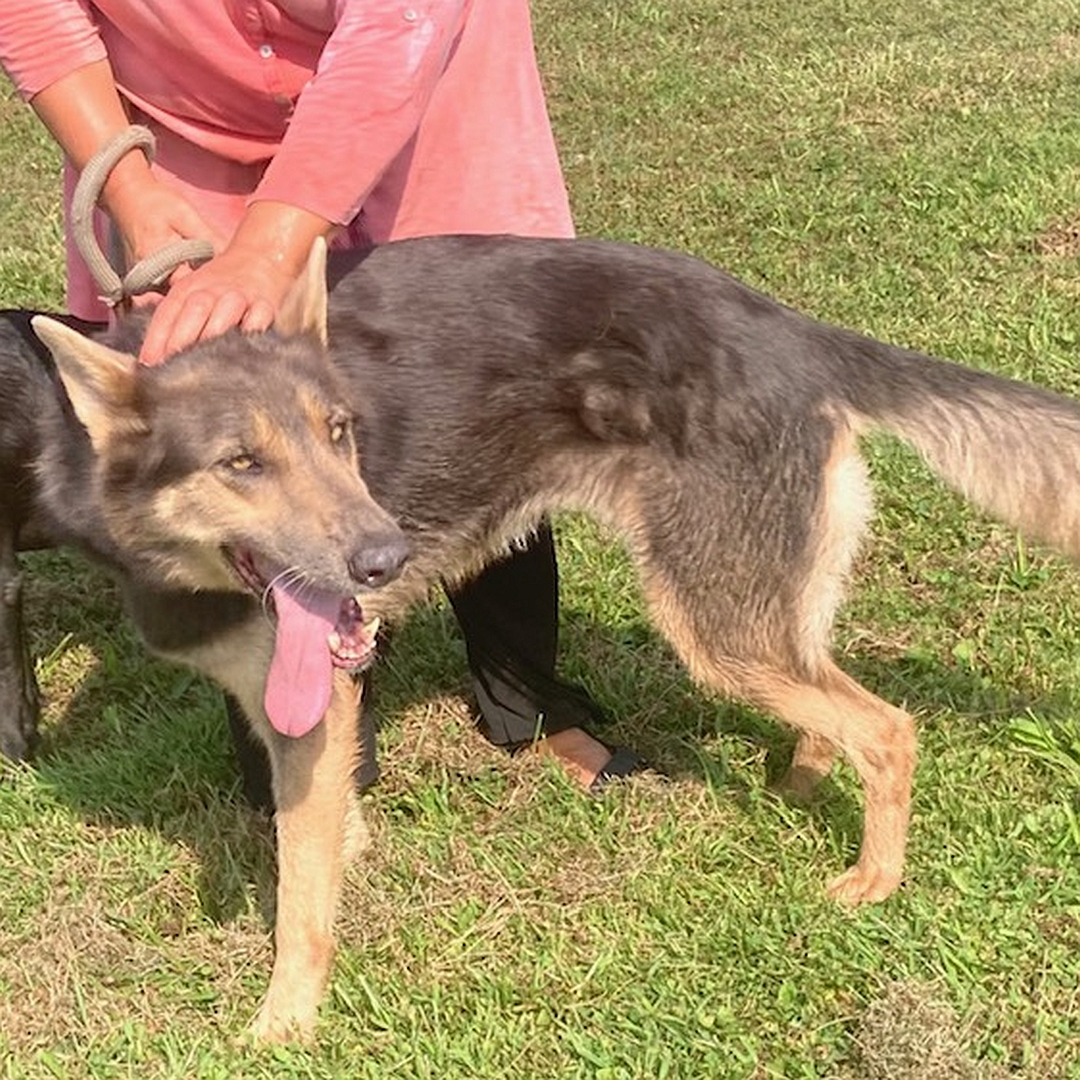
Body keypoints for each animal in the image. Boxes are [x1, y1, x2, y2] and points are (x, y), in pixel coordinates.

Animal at [6, 234, 1080, 1036]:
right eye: (241, 462)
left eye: (341, 432)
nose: (386, 557)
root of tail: (789, 329)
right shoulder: (297, 702)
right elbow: (318, 832)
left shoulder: (308, 709)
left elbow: (300, 898)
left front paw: (285, 1025)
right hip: (759, 609)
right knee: (833, 702)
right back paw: (802, 784)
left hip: (712, 625)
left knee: (889, 728)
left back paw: (874, 881)